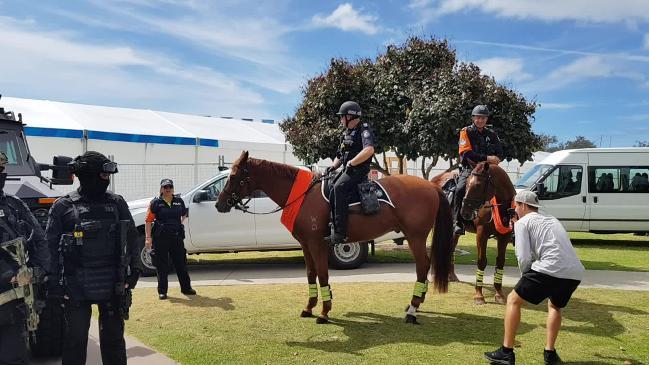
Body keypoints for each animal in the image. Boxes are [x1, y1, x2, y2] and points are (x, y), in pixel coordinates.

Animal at [215, 151, 454, 324]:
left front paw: (324, 312)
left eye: (234, 176)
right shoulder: (306, 245)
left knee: (423, 266)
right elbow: (310, 274)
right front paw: (309, 307)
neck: (303, 196)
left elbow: (322, 274)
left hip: (416, 237)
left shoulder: (317, 244)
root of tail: (432, 185)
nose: (219, 204)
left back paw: (413, 309)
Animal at [432, 162, 512, 304]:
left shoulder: (504, 237)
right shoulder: (482, 234)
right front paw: (479, 295)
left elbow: (500, 262)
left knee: (451, 249)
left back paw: (451, 276)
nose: (464, 211)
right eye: (467, 183)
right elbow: (481, 261)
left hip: (454, 232)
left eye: (478, 185)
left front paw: (499, 294)